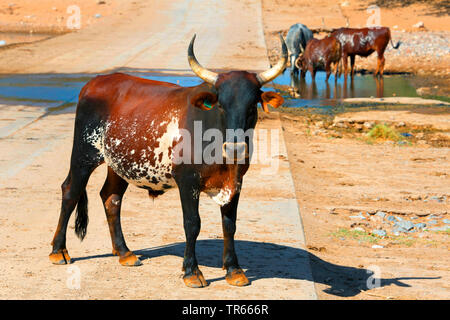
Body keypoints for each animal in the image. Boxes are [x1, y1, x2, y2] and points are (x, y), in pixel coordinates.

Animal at [49, 34, 286, 288]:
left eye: (252, 107)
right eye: (221, 105)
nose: (235, 147)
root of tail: (95, 82)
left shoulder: (236, 182)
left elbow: (229, 224)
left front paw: (234, 270)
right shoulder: (187, 181)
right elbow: (192, 223)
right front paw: (192, 271)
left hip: (119, 164)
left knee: (111, 198)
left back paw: (124, 252)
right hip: (84, 154)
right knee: (70, 191)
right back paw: (59, 251)